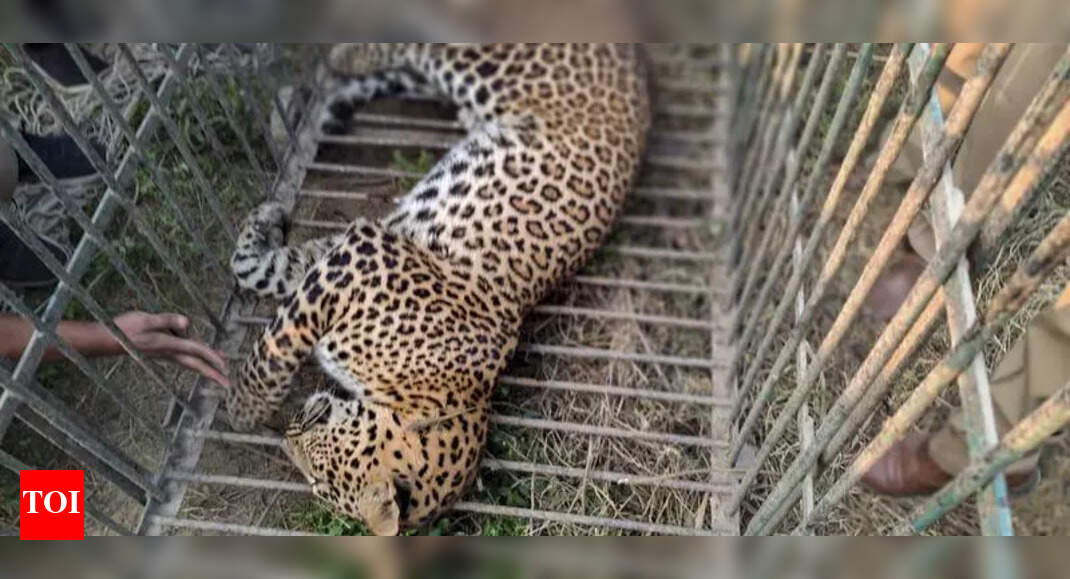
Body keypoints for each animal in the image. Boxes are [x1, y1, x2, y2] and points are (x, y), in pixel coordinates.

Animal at [225, 43, 650, 535]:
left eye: (319, 482)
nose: (287, 438)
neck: (426, 396)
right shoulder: (361, 255)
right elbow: (272, 336)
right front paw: (242, 408)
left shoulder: (352, 258)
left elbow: (271, 282)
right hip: (489, 67)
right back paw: (336, 60)